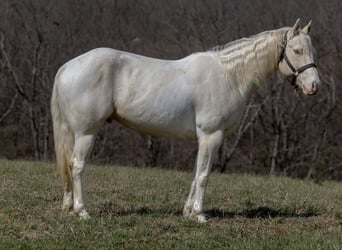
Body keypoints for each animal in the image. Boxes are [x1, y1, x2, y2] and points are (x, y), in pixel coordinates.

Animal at [50, 19, 320, 223]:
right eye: (297, 50)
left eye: (311, 50)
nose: (314, 86)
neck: (228, 75)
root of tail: (68, 67)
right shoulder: (212, 135)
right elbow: (204, 175)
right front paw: (199, 215)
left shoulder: (203, 139)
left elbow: (195, 172)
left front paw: (188, 212)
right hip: (86, 133)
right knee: (77, 166)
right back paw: (82, 210)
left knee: (68, 166)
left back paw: (69, 207)